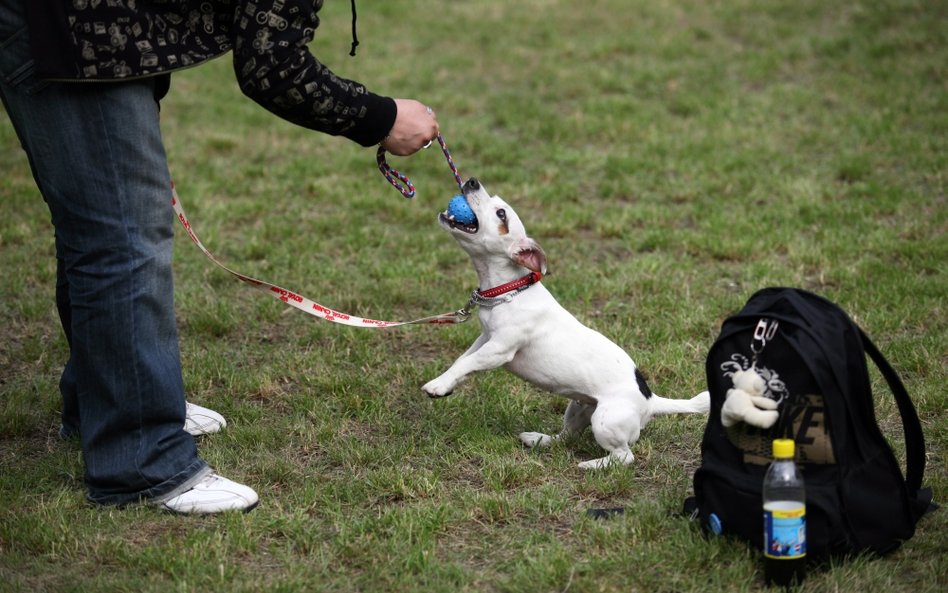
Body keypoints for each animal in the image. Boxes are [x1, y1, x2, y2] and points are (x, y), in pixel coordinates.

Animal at [424, 176, 712, 468]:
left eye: (501, 213)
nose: (471, 181)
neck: (510, 290)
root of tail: (651, 401)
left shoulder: (499, 349)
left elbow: (469, 362)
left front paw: (436, 386)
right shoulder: (485, 339)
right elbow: (462, 361)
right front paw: (446, 383)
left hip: (605, 420)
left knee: (624, 457)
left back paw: (591, 465)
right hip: (579, 407)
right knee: (566, 437)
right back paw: (539, 440)